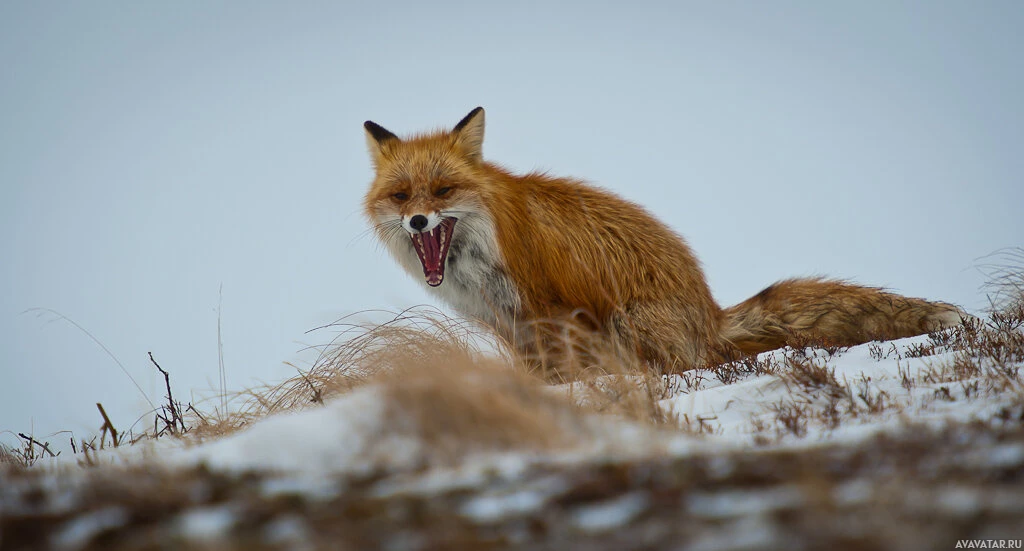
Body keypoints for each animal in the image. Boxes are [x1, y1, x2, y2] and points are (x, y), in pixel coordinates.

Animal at [364, 107, 962, 380]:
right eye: (401, 195)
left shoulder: (552, 309)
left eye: (444, 190)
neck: (482, 256)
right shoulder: (510, 326)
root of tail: (710, 312)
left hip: (631, 321)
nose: (418, 221)